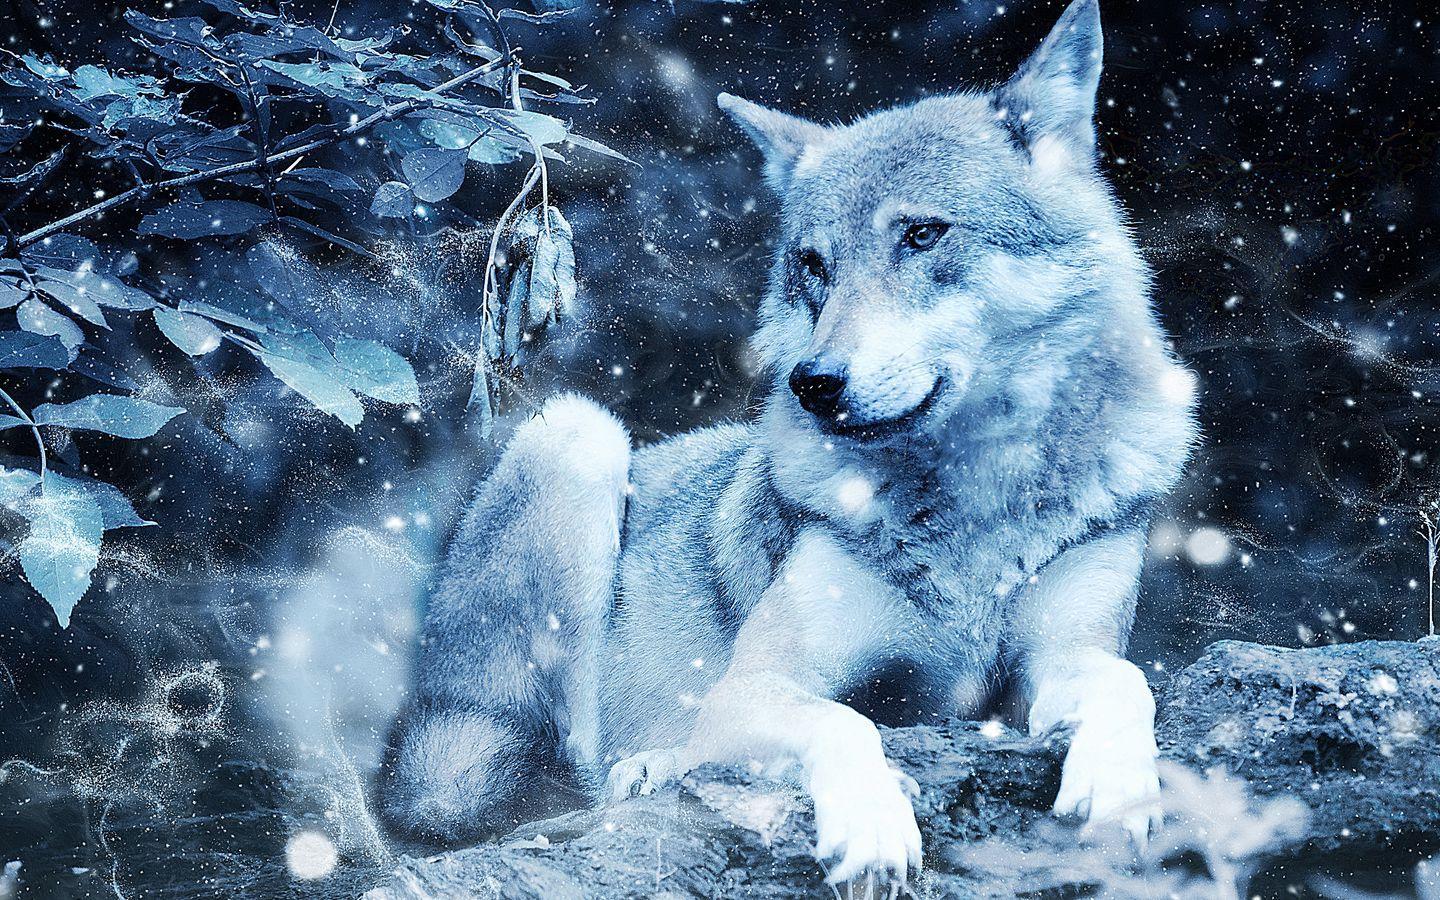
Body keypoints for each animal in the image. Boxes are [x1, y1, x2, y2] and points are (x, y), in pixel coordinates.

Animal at [376, 0, 1198, 888]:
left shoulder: (1051, 666)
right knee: (568, 776)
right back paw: (651, 766)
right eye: (813, 265)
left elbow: (1127, 680)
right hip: (577, 435)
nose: (815, 382)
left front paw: (1118, 788)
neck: (970, 505)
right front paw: (873, 825)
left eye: (923, 235)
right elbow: (847, 722)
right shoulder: (753, 687)